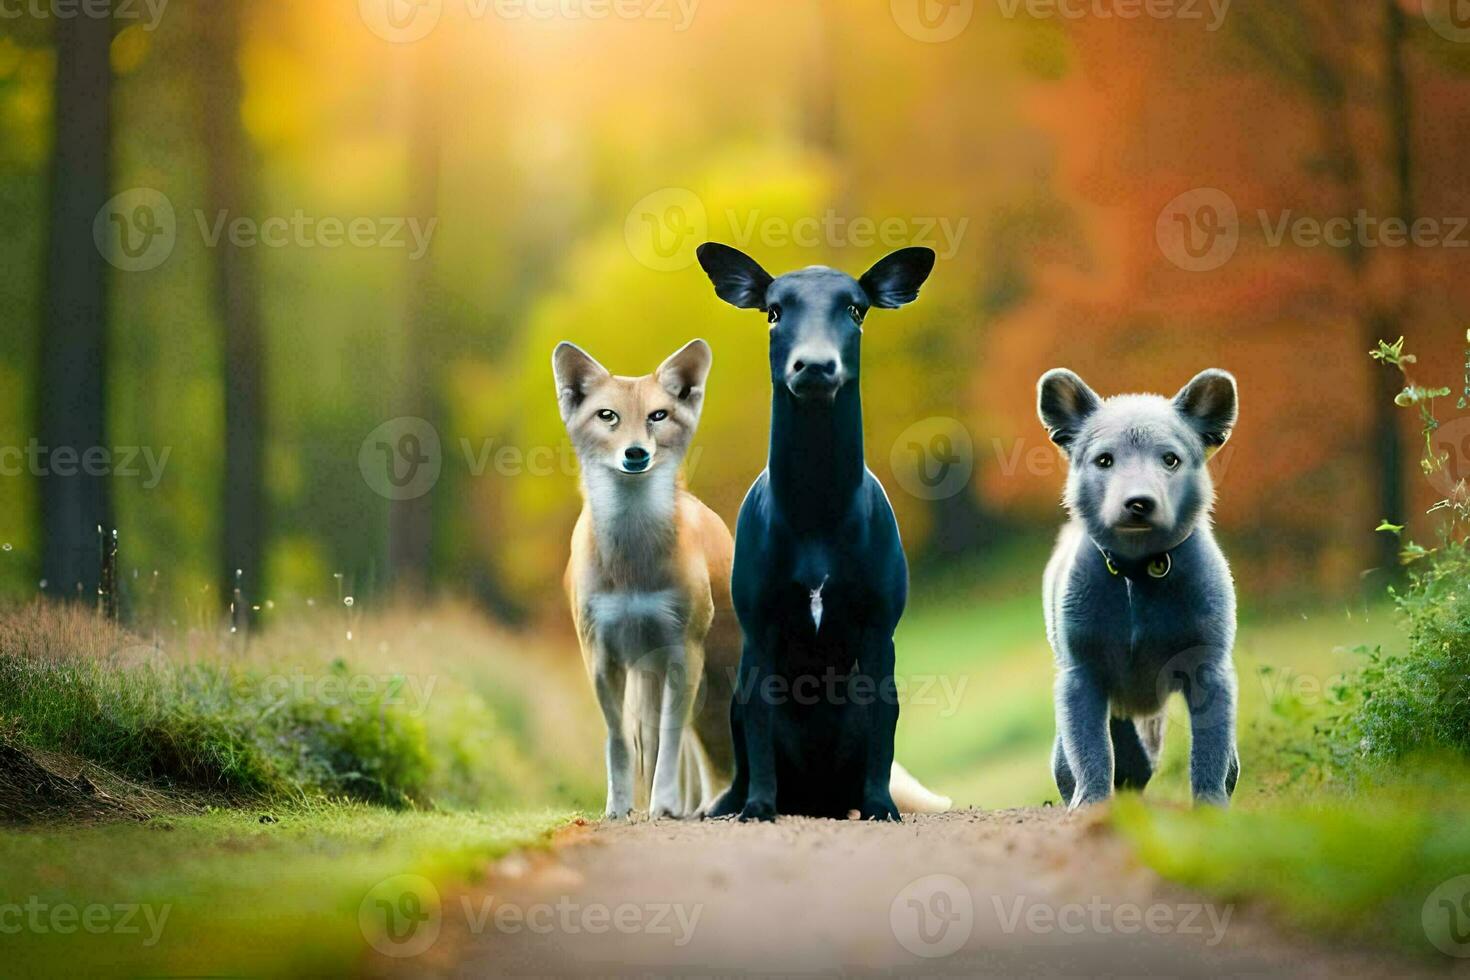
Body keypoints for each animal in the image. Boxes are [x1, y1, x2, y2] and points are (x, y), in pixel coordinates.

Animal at [1034, 370, 1240, 811]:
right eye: (1104, 460)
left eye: (1170, 459)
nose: (1139, 502)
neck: (1137, 573)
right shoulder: (1081, 675)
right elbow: (1090, 750)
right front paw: (1091, 803)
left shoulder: (1208, 668)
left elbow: (1211, 749)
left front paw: (1211, 804)